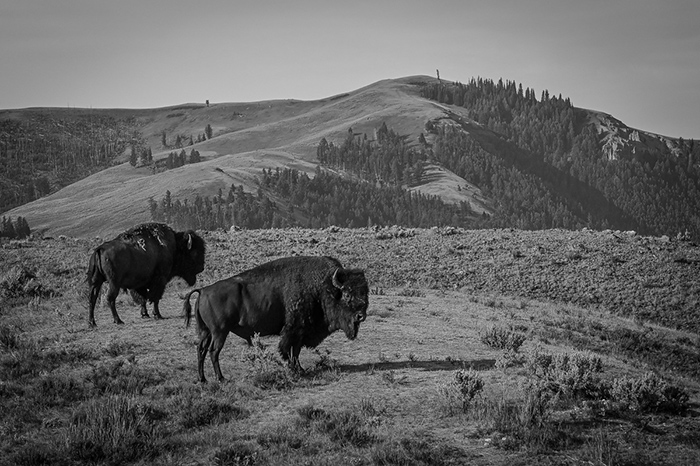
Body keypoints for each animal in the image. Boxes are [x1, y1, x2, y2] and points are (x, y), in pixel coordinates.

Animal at [183, 255, 372, 382]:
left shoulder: (299, 333)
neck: (322, 287)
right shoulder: (294, 331)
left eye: (365, 293)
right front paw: (298, 370)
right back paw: (221, 378)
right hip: (219, 332)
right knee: (214, 351)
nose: (361, 315)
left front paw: (300, 370)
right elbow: (290, 351)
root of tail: (203, 290)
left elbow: (295, 351)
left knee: (201, 350)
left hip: (206, 332)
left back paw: (203, 379)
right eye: (347, 294)